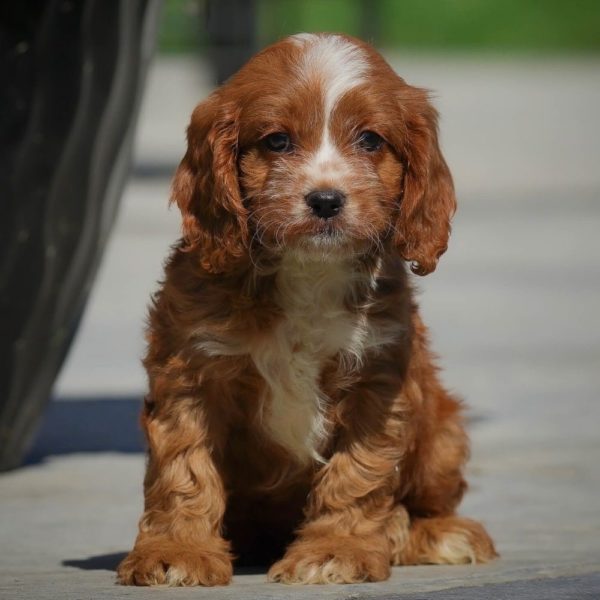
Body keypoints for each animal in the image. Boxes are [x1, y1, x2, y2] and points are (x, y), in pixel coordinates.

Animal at [117, 31, 496, 584]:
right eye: (277, 141)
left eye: (370, 141)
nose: (325, 200)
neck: (308, 268)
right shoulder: (189, 372)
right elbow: (183, 469)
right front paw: (176, 552)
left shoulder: (377, 378)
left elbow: (357, 475)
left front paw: (336, 550)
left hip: (442, 432)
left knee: (428, 500)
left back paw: (435, 533)